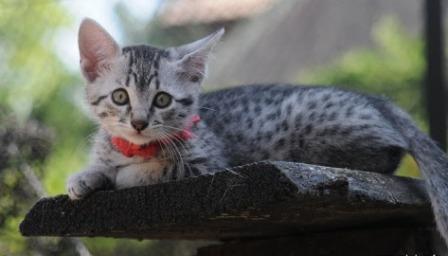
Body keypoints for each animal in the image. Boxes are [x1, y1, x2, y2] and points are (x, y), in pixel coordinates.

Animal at [67, 18, 448, 246]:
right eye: (120, 96)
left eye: (162, 100)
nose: (139, 122)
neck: (133, 147)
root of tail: (379, 101)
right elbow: (102, 163)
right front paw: (87, 175)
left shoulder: (206, 166)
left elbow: (153, 170)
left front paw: (124, 174)